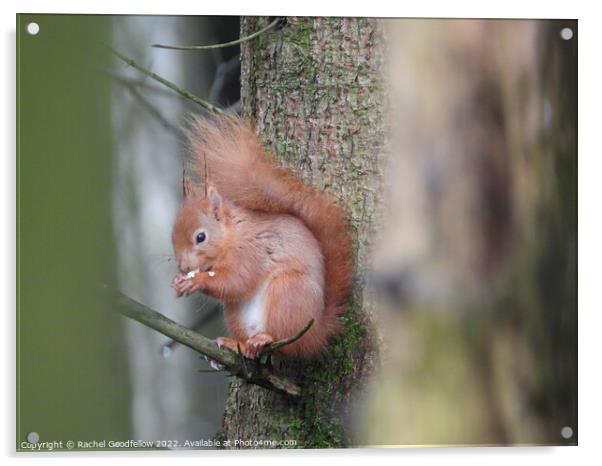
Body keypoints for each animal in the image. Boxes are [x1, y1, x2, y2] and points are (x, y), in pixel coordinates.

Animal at [169, 116, 354, 360]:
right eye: (172, 236)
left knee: (286, 342)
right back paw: (236, 344)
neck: (232, 236)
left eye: (201, 237)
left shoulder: (252, 251)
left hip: (287, 293)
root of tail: (317, 334)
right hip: (236, 314)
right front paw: (178, 282)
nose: (182, 267)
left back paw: (264, 339)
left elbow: (236, 281)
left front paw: (196, 280)